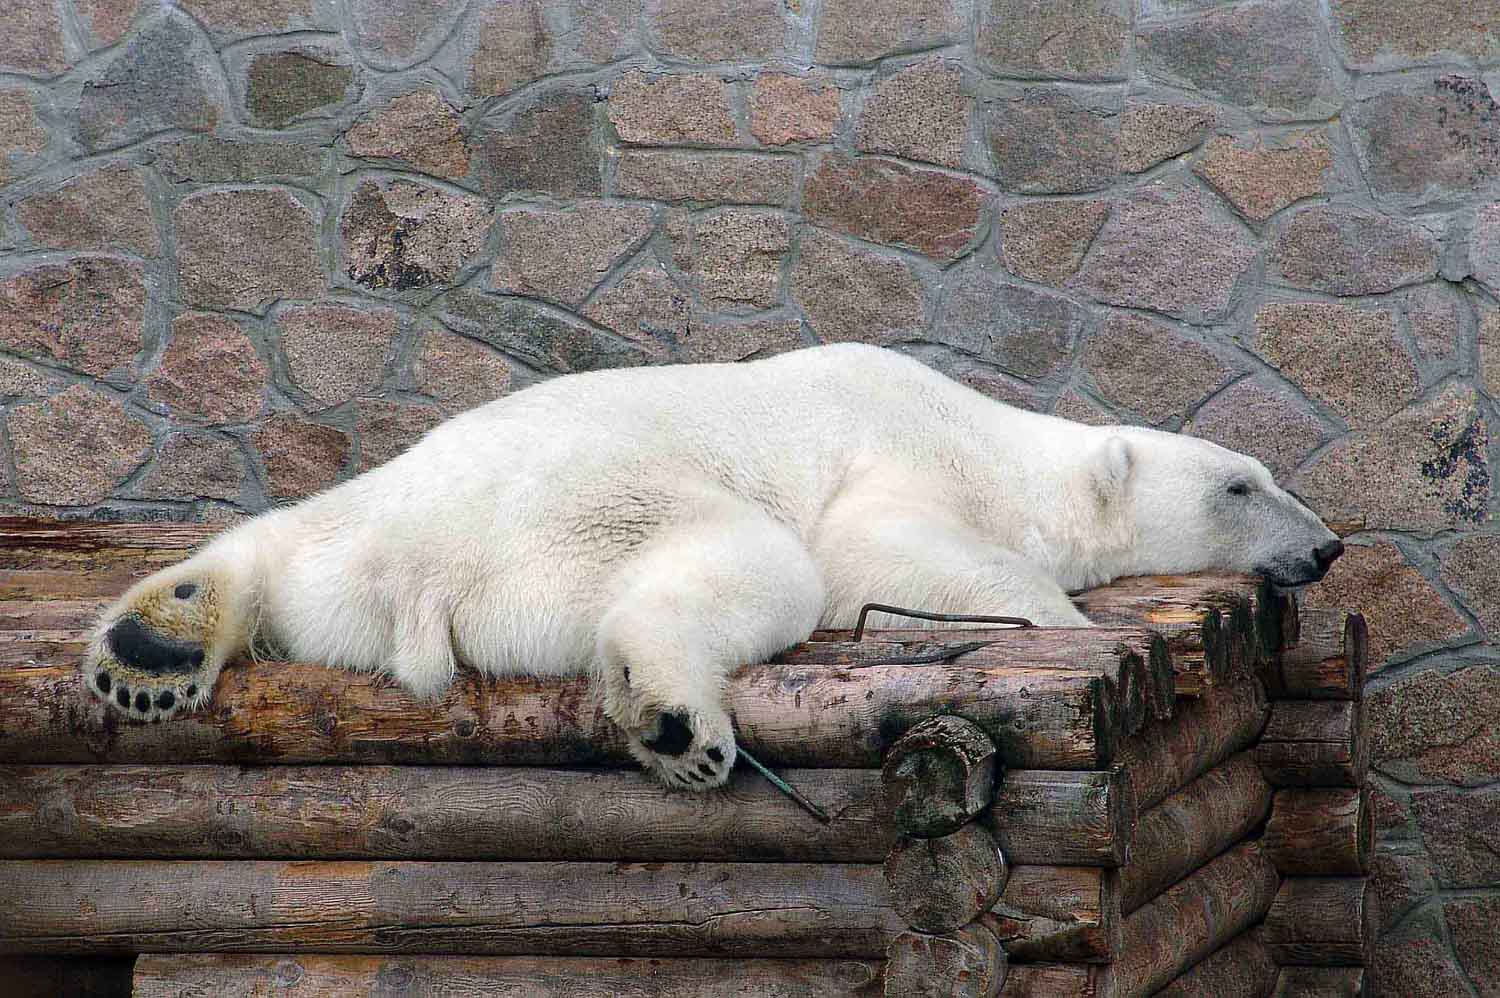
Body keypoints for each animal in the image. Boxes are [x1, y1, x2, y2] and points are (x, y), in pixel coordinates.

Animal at [85, 342, 1350, 786]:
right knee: (747, 566)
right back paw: (676, 719)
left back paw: (156, 640)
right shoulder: (901, 453)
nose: (1331, 542)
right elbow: (870, 552)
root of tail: (417, 572)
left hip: (354, 533)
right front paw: (1063, 621)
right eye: (1241, 484)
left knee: (274, 540)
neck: (1000, 440)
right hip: (577, 521)